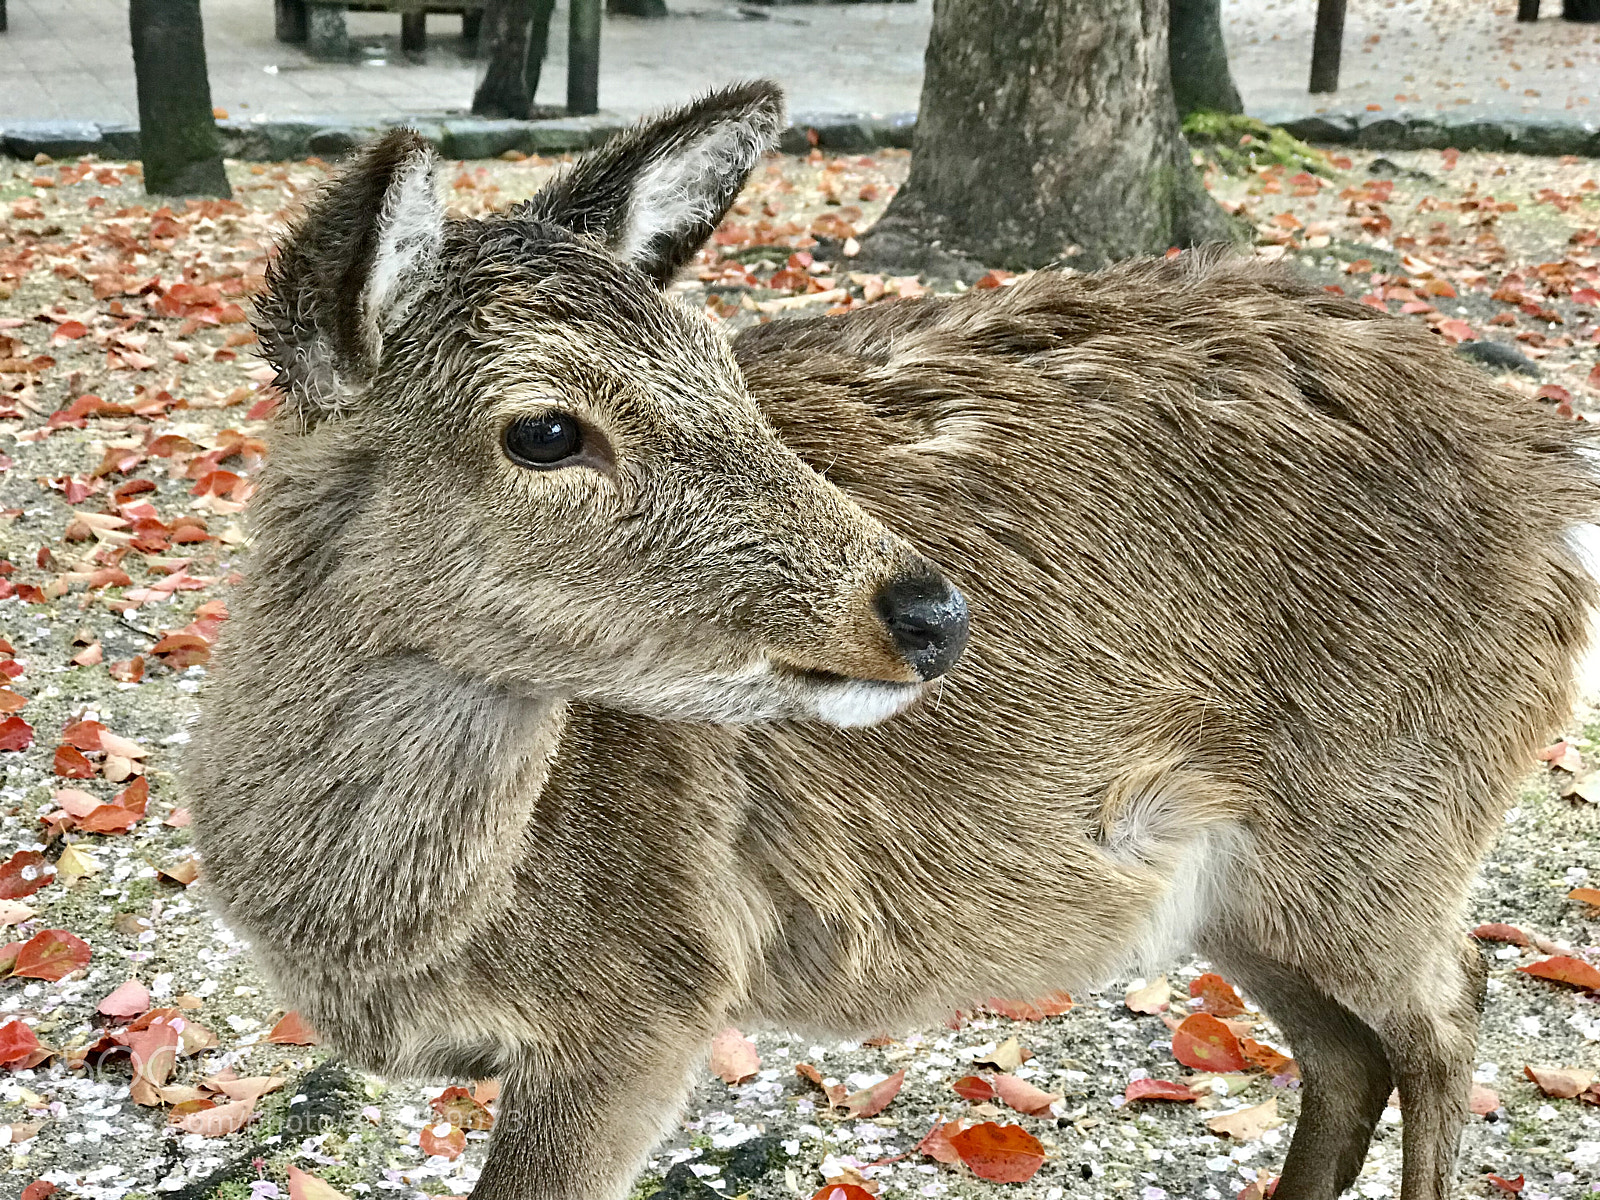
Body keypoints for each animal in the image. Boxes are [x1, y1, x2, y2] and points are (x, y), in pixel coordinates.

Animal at [186, 81, 1600, 1200]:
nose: (931, 610)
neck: (394, 946)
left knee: (1452, 1009)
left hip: (1391, 821)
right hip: (1246, 881)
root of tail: (1551, 479)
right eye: (542, 429)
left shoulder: (647, 1000)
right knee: (1350, 1052)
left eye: (727, 372)